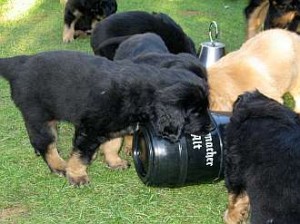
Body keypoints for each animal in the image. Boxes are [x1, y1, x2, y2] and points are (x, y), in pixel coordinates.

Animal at [0, 50, 210, 186]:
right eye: (195, 112)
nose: (211, 128)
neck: (141, 94)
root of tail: (19, 64)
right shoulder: (90, 129)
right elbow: (82, 154)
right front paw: (76, 175)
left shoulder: (115, 125)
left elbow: (112, 144)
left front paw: (114, 162)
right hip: (40, 117)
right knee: (47, 144)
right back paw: (59, 165)